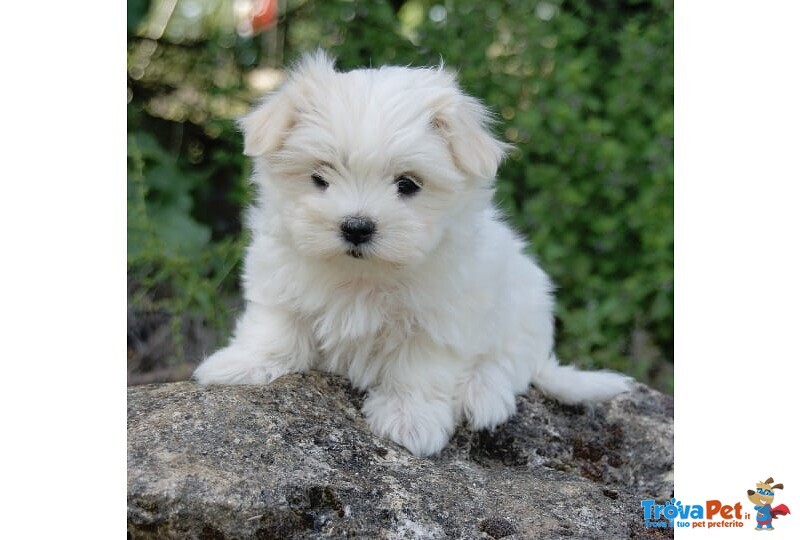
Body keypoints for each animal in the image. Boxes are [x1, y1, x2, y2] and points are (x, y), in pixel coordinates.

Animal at [195, 51, 632, 456]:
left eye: (407, 184)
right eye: (320, 177)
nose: (357, 226)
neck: (364, 274)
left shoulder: (443, 316)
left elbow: (421, 366)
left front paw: (411, 419)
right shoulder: (281, 278)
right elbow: (276, 326)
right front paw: (243, 364)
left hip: (525, 304)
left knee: (509, 359)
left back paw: (483, 392)